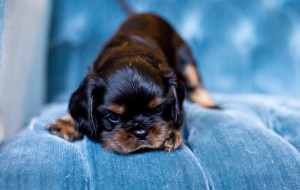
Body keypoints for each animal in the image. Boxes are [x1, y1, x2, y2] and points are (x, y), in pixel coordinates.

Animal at [47, 14, 217, 155]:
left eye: (158, 109)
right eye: (113, 117)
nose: (141, 132)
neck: (130, 51)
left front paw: (170, 134)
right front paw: (66, 122)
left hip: (184, 57)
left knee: (197, 85)